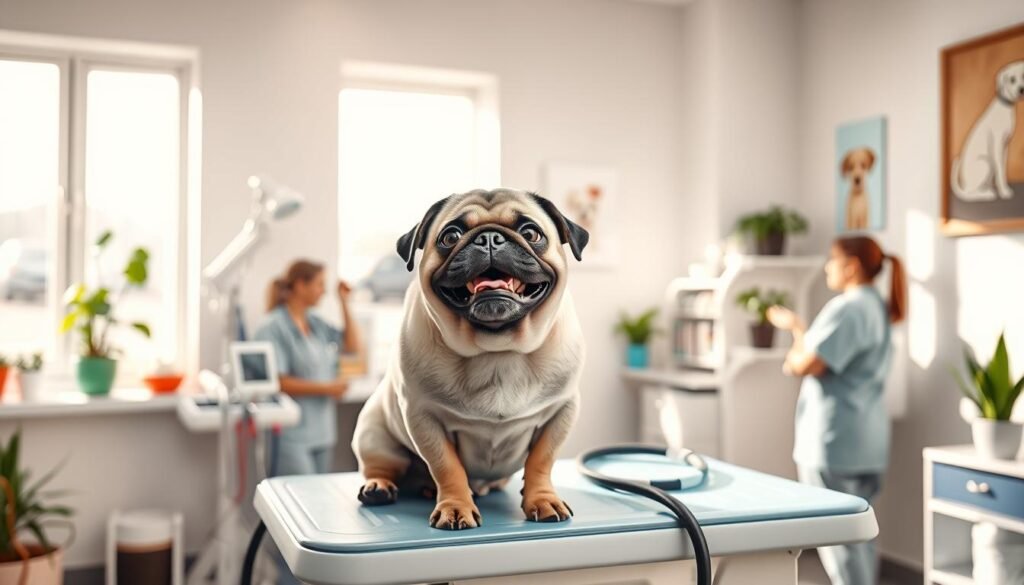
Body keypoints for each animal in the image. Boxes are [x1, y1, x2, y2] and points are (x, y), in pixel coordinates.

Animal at [352, 188, 589, 532]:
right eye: (450, 236)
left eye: (531, 233)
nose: (489, 238)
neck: (496, 348)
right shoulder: (423, 418)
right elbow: (447, 466)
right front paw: (455, 507)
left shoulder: (561, 412)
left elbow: (541, 461)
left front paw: (542, 500)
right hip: (374, 435)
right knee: (381, 465)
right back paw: (379, 488)